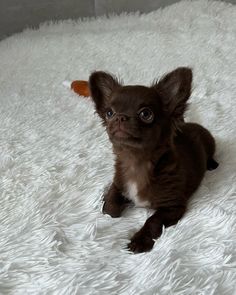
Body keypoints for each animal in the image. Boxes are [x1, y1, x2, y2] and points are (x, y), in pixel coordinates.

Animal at [88, 67, 218, 254]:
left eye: (146, 114)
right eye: (109, 113)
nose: (120, 117)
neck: (136, 161)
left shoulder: (172, 206)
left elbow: (153, 221)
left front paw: (139, 241)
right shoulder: (117, 185)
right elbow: (110, 207)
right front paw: (109, 214)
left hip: (210, 143)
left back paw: (212, 164)